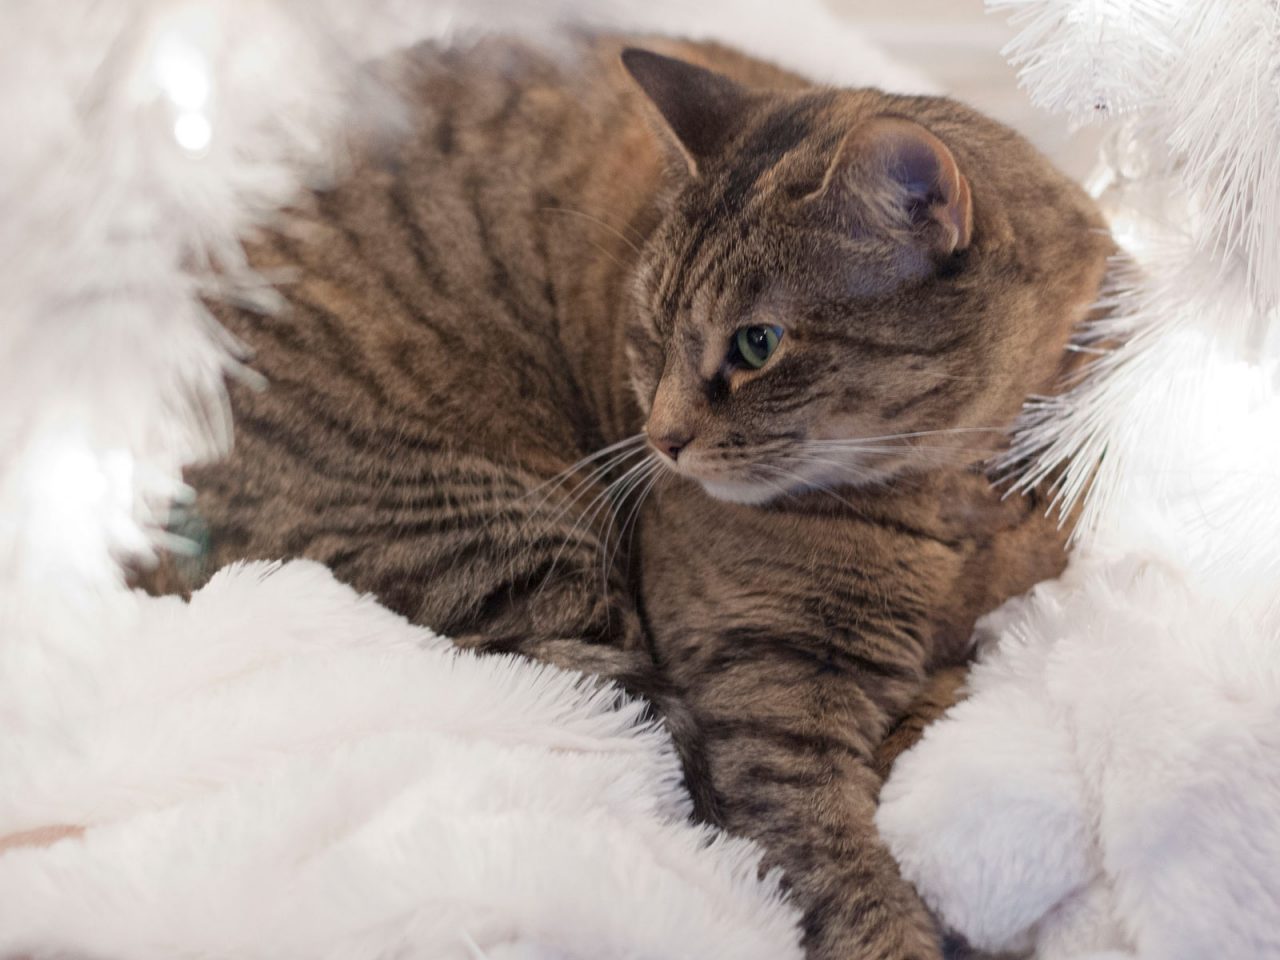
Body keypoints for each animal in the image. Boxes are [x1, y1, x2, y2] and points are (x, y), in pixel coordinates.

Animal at [175, 33, 1116, 960]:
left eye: (758, 343)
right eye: (653, 333)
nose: (661, 439)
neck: (957, 499)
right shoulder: (769, 689)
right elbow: (839, 868)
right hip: (508, 543)